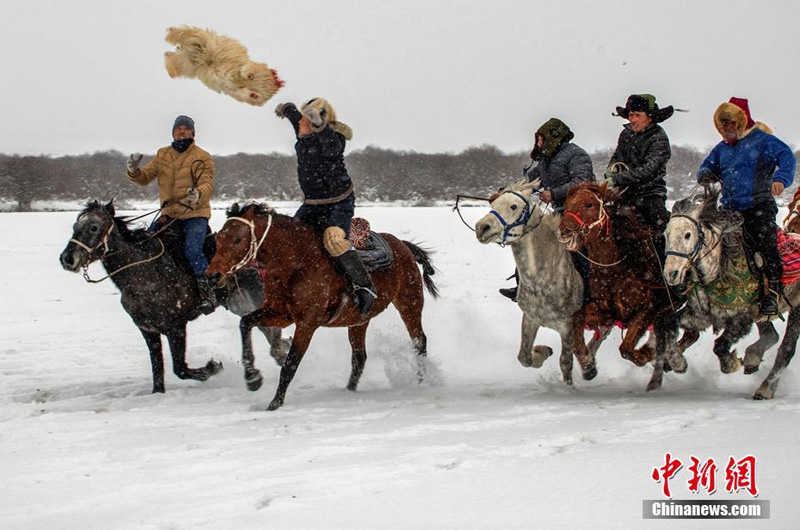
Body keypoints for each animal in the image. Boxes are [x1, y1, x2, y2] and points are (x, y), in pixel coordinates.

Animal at [60, 200, 290, 390]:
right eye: (75, 227)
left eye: (93, 227)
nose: (67, 259)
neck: (145, 273)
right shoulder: (148, 330)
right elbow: (158, 371)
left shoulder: (175, 326)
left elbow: (180, 368)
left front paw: (213, 367)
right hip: (240, 304)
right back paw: (281, 351)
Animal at [202, 202, 438, 408]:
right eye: (219, 238)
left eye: (238, 239)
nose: (212, 276)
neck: (296, 263)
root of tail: (403, 244)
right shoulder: (279, 314)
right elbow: (245, 323)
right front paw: (252, 377)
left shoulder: (307, 323)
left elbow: (290, 364)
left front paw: (274, 403)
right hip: (359, 320)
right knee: (359, 357)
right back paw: (349, 391)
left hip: (409, 303)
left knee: (419, 342)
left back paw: (420, 381)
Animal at [472, 178, 608, 384]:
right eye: (493, 204)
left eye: (513, 206)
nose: (482, 227)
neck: (542, 280)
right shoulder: (530, 319)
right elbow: (524, 357)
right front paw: (542, 352)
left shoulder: (567, 325)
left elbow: (565, 362)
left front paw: (569, 385)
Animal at [560, 182, 680, 388]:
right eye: (567, 203)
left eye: (590, 204)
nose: (565, 230)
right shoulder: (602, 312)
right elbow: (578, 330)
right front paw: (588, 364)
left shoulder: (647, 309)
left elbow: (626, 349)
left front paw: (648, 353)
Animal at [664, 190, 800, 396]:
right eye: (666, 234)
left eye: (688, 235)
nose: (671, 274)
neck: (720, 268)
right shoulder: (698, 315)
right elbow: (670, 323)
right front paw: (677, 362)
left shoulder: (741, 320)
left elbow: (720, 346)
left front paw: (732, 363)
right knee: (772, 336)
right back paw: (752, 360)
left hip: (796, 309)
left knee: (786, 349)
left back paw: (765, 389)